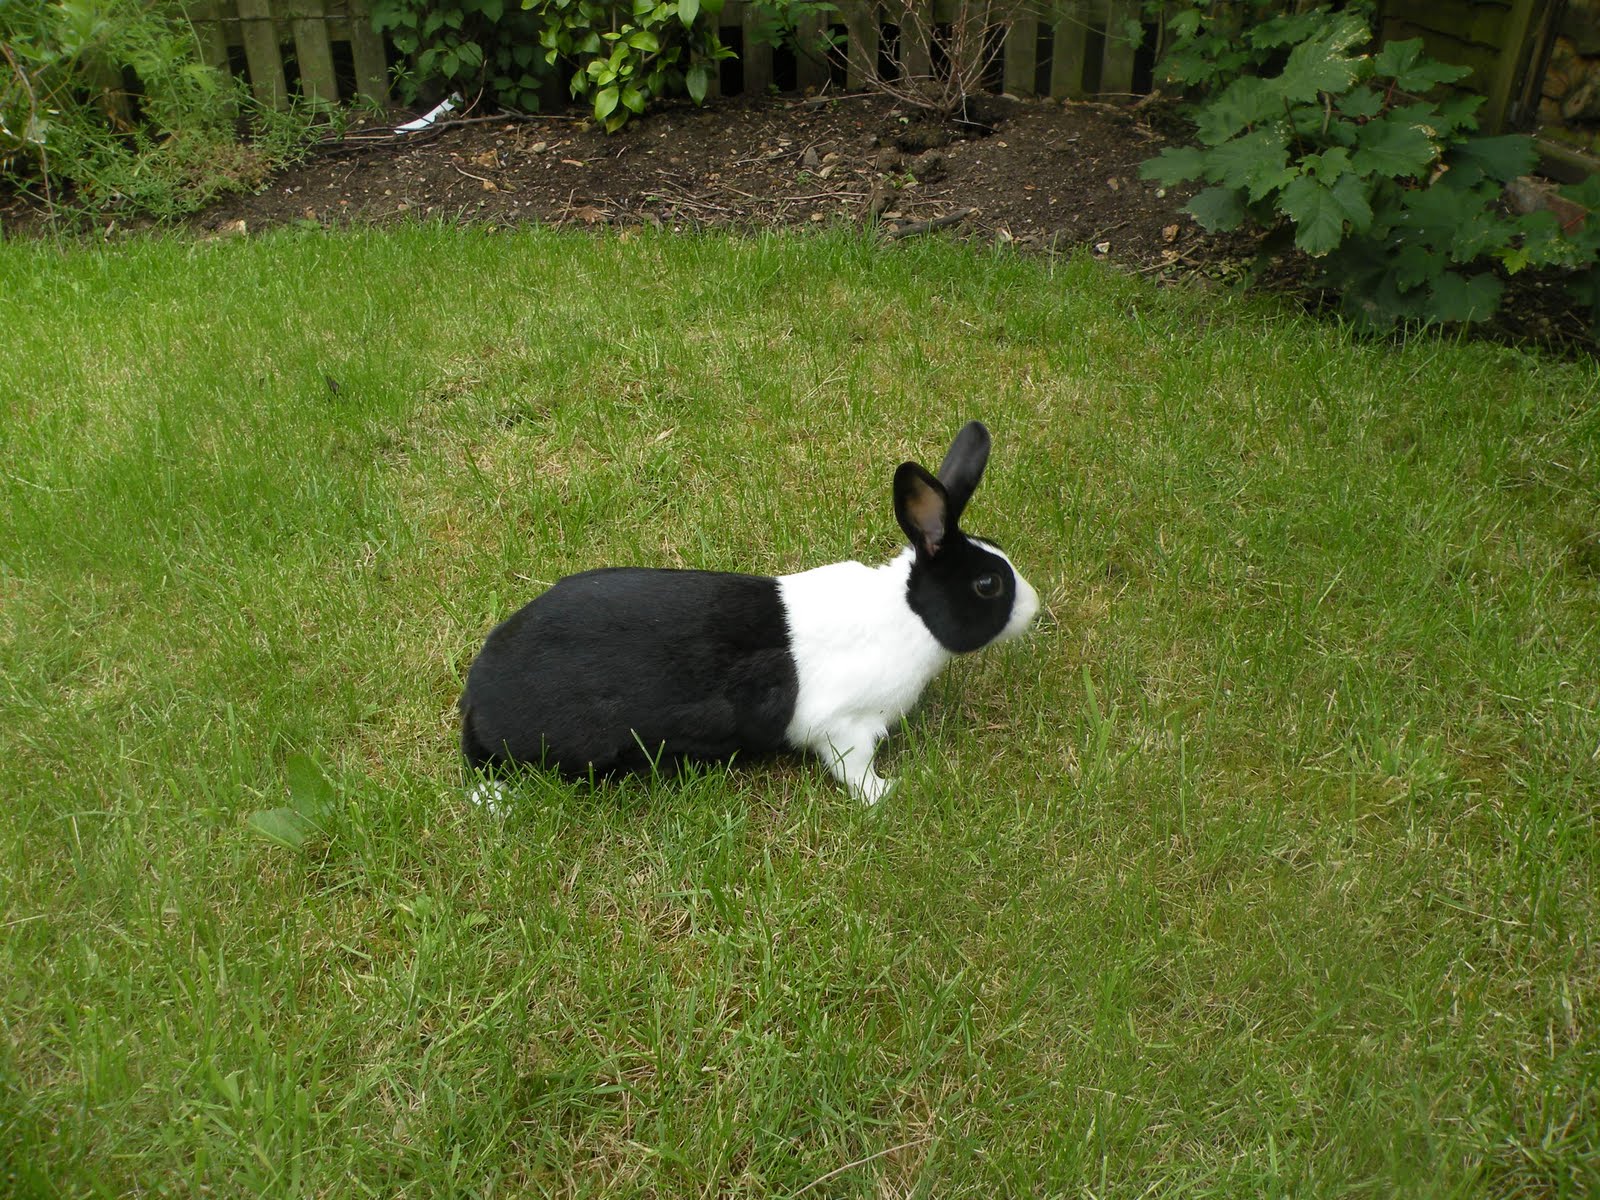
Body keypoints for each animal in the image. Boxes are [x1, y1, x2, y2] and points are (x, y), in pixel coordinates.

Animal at [459, 421, 1039, 804]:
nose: (1035, 607)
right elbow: (853, 772)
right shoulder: (845, 727)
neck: (909, 615)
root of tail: (477, 697)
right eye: (988, 584)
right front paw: (890, 793)